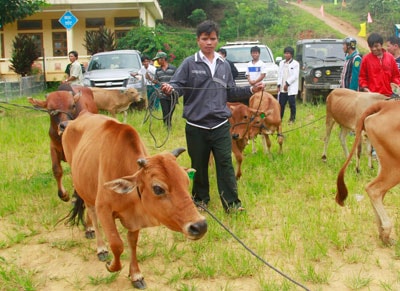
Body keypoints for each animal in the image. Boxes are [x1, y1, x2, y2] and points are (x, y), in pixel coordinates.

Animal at [61, 112, 208, 290]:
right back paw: (100, 246)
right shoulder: (104, 209)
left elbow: (132, 243)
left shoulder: (134, 219)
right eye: (158, 188)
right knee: (91, 212)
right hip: (81, 186)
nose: (200, 226)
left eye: (187, 181)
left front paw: (135, 275)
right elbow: (117, 244)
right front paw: (112, 266)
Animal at [338, 100, 400, 244]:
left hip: (385, 164)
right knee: (374, 189)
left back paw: (382, 232)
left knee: (378, 191)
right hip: (395, 166)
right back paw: (386, 230)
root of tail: (386, 105)